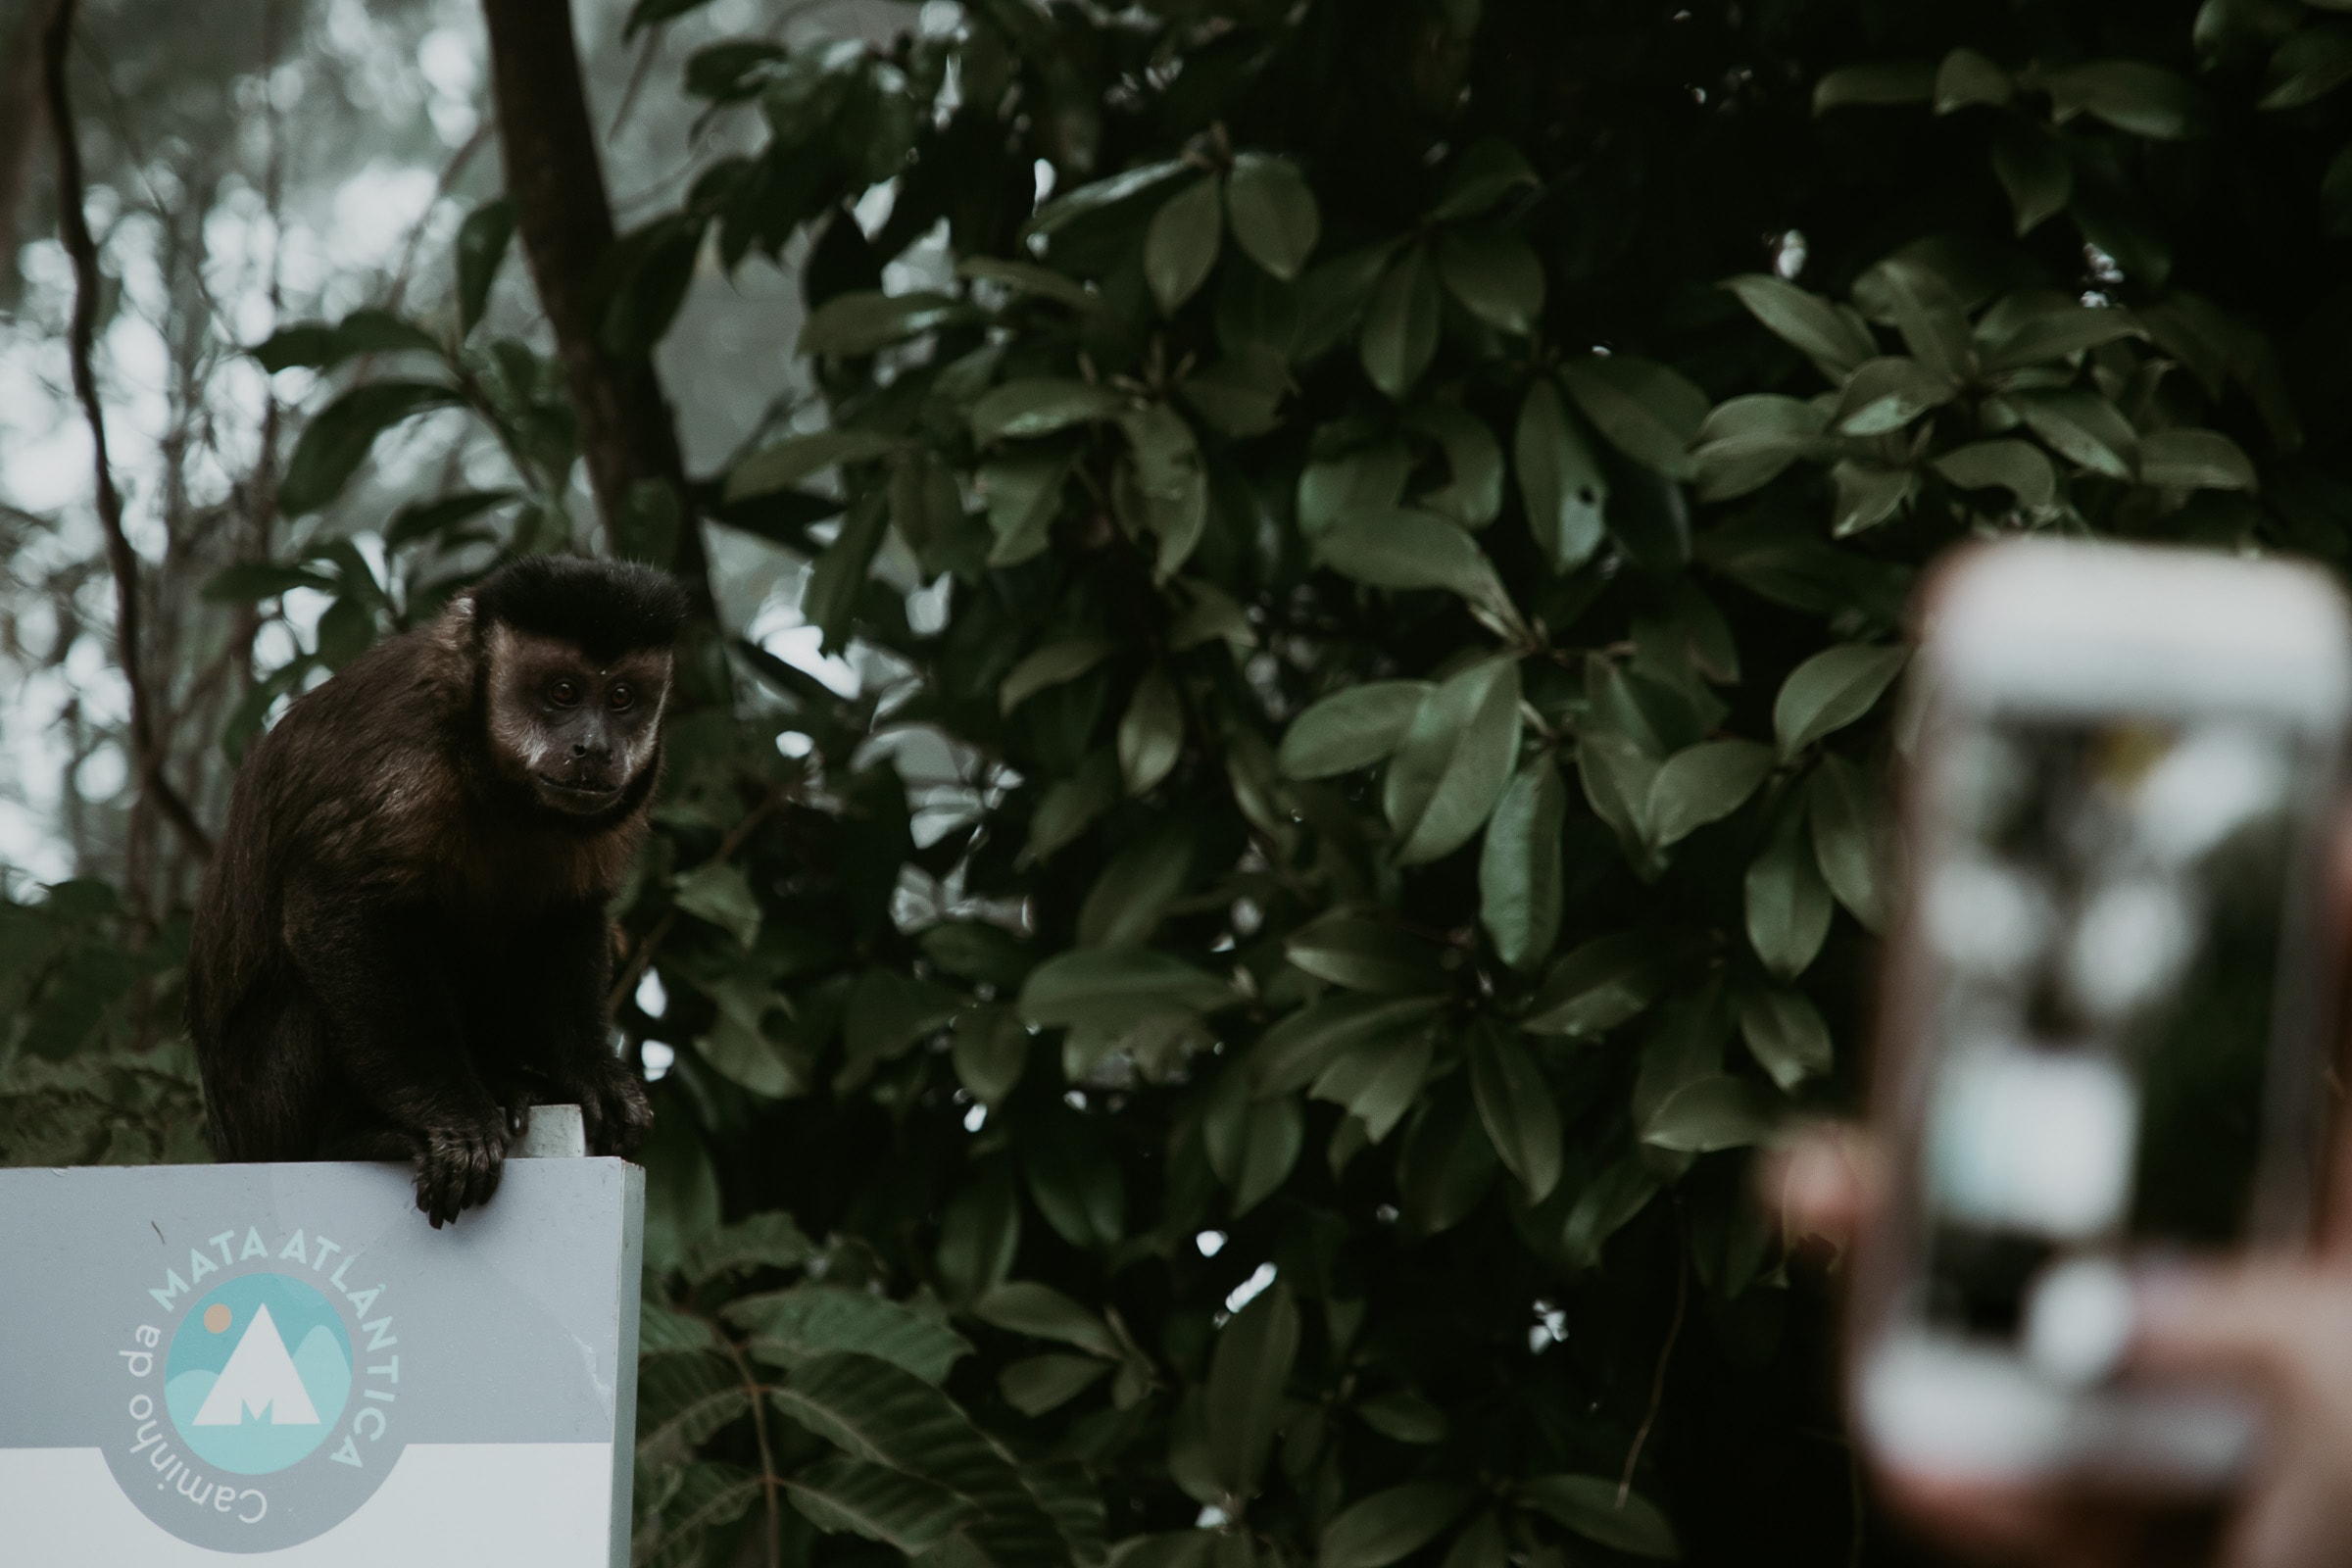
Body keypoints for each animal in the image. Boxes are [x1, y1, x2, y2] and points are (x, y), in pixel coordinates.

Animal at [186, 555, 687, 1226]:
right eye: (562, 692)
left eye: (622, 698)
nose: (596, 747)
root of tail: (232, 1143)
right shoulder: (400, 767)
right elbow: (338, 912)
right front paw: (451, 1116)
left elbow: (566, 915)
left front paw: (590, 1072)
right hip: (265, 1115)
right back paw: (356, 1135)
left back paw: (511, 1083)